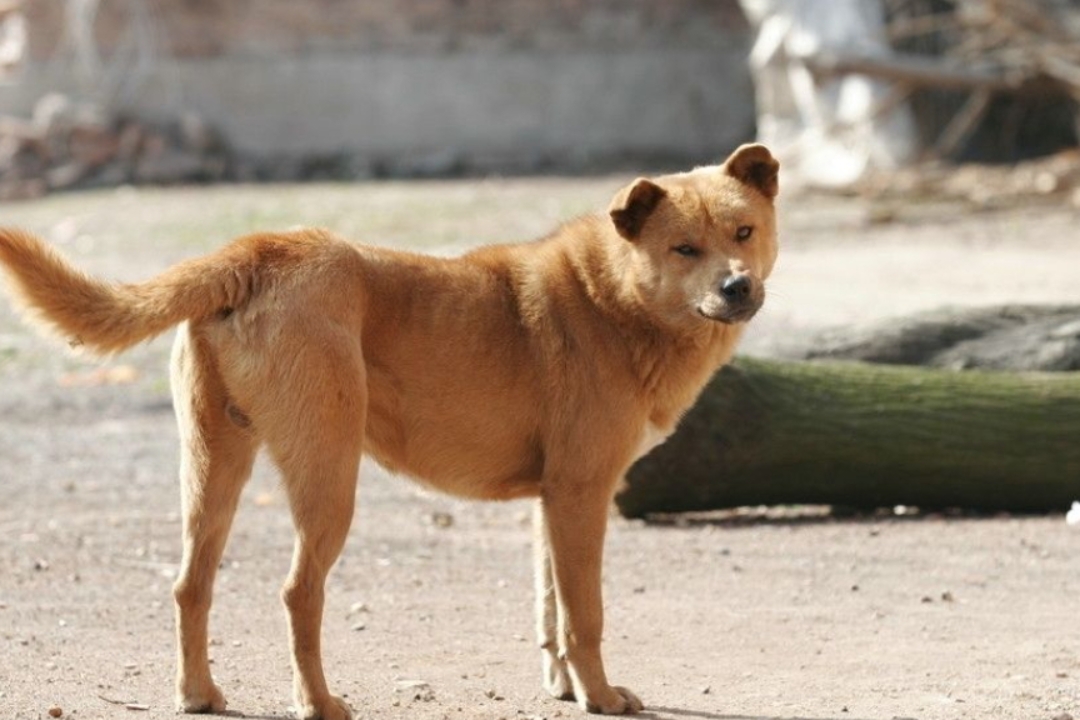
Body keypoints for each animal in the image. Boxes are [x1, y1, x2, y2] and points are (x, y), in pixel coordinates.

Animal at [0, 143, 781, 716]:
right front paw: (601, 697)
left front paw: (563, 688)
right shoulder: (582, 494)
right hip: (328, 479)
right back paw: (318, 703)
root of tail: (259, 250)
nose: (738, 286)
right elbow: (584, 615)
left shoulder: (553, 501)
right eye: (684, 249)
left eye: (743, 232)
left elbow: (550, 610)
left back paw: (198, 695)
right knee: (297, 593)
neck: (611, 296)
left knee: (189, 585)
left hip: (213, 468)